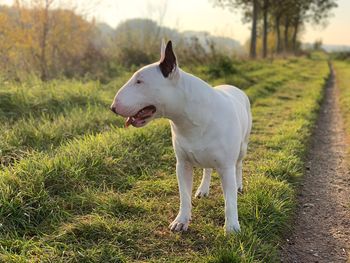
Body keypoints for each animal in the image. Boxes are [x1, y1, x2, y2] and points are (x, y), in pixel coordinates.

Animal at [110, 40, 250, 234]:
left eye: (139, 81)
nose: (113, 107)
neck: (190, 119)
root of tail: (232, 86)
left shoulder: (226, 167)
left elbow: (230, 201)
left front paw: (232, 227)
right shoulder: (182, 165)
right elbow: (184, 195)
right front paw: (181, 221)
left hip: (242, 147)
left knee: (239, 165)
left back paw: (238, 185)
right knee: (208, 169)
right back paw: (203, 189)